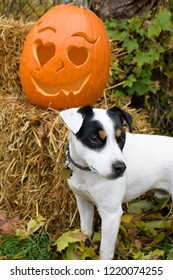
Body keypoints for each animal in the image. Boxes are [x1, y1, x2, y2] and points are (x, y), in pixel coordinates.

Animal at [59, 106, 173, 260]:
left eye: (121, 138)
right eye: (94, 138)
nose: (121, 168)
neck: (87, 173)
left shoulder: (111, 214)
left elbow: (105, 251)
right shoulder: (84, 201)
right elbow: (86, 233)